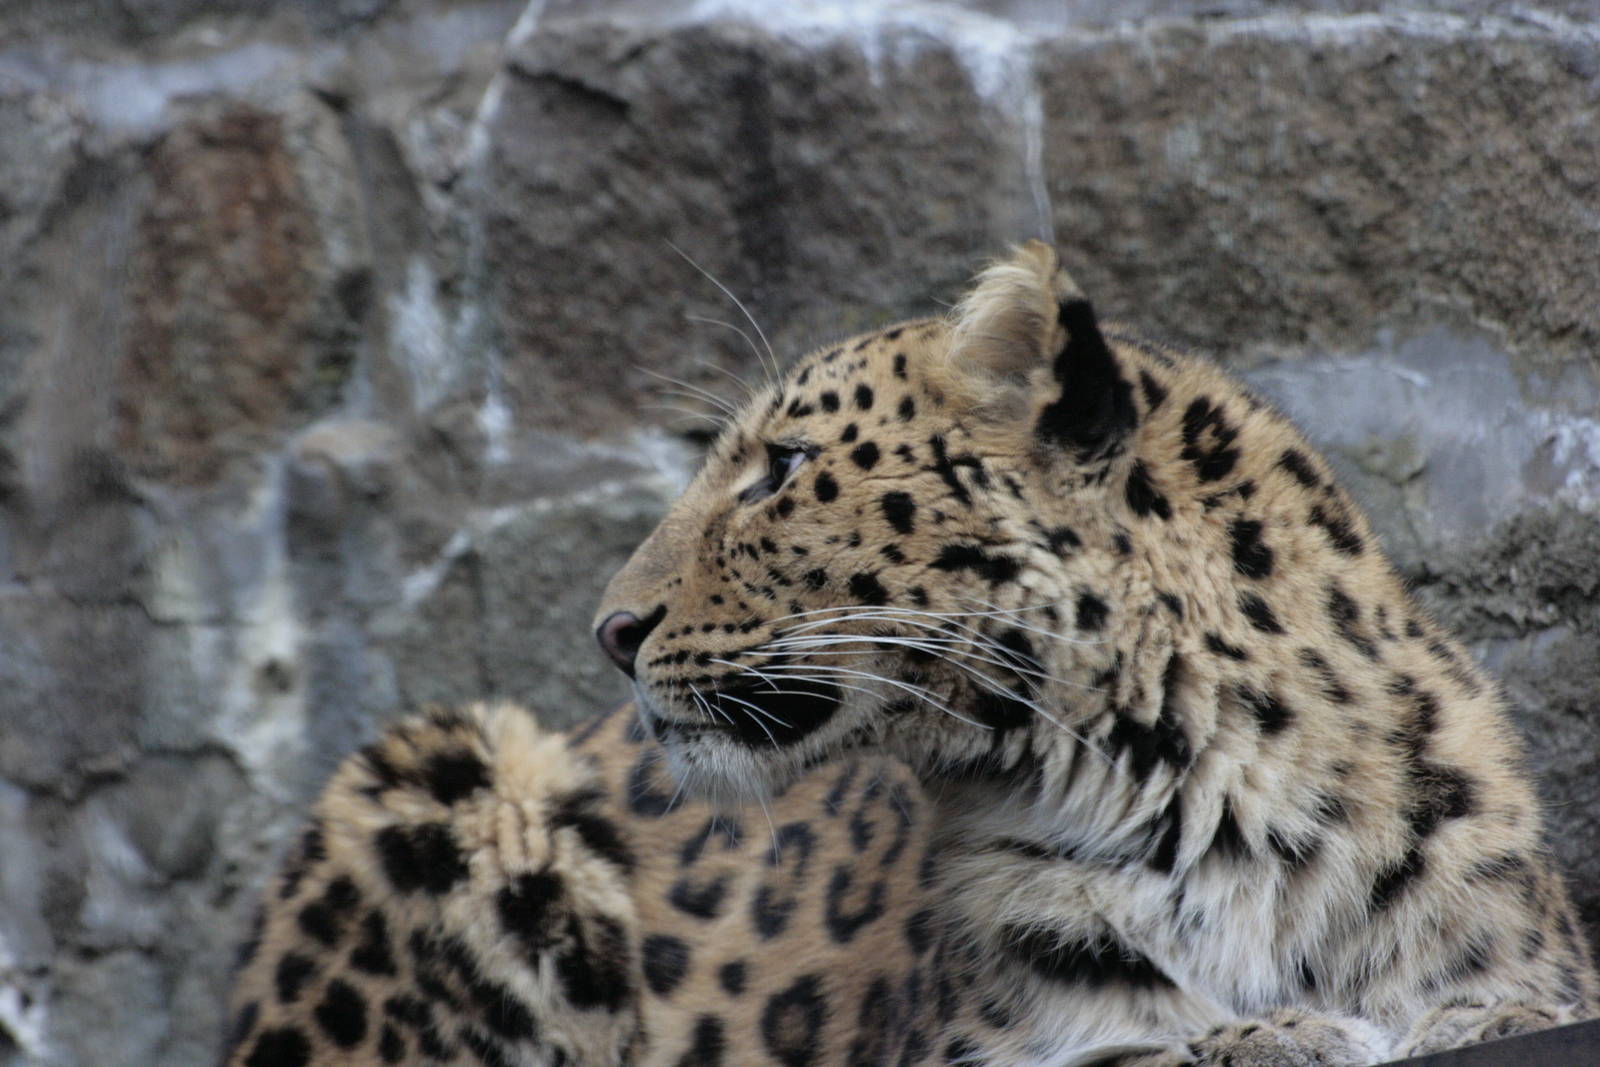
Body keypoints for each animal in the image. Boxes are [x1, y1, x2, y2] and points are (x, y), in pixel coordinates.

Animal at [227, 241, 1596, 1066]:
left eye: (779, 468)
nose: (609, 631)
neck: (1206, 788)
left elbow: (1499, 1003)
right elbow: (1142, 1042)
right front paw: (1274, 1033)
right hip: (436, 760)